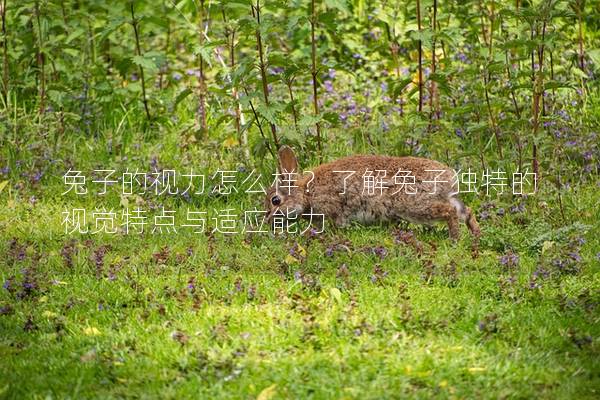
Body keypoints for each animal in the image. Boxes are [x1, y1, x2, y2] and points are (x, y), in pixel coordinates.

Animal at [264, 145, 480, 245]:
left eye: (276, 200)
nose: (268, 222)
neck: (306, 194)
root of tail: (449, 178)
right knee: (466, 211)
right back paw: (477, 235)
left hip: (415, 205)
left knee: (449, 212)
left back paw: (455, 239)